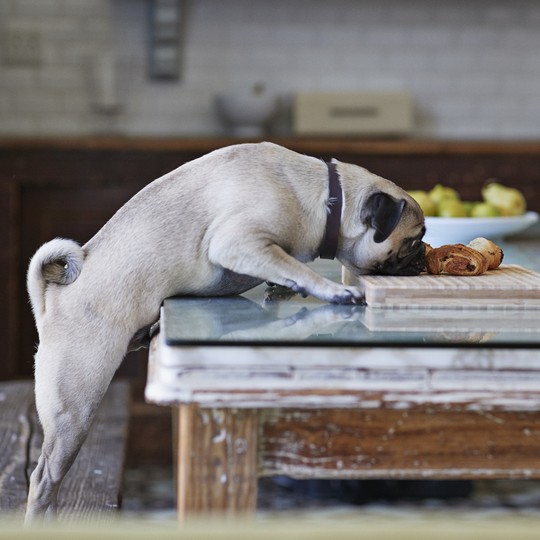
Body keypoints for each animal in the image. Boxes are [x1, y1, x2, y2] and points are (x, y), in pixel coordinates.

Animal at [25, 141, 424, 520]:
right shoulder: (239, 243)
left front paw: (284, 288)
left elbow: (285, 269)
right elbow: (295, 266)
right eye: (413, 240)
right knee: (43, 478)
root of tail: (52, 298)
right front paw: (331, 290)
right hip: (74, 411)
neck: (327, 201)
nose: (422, 256)